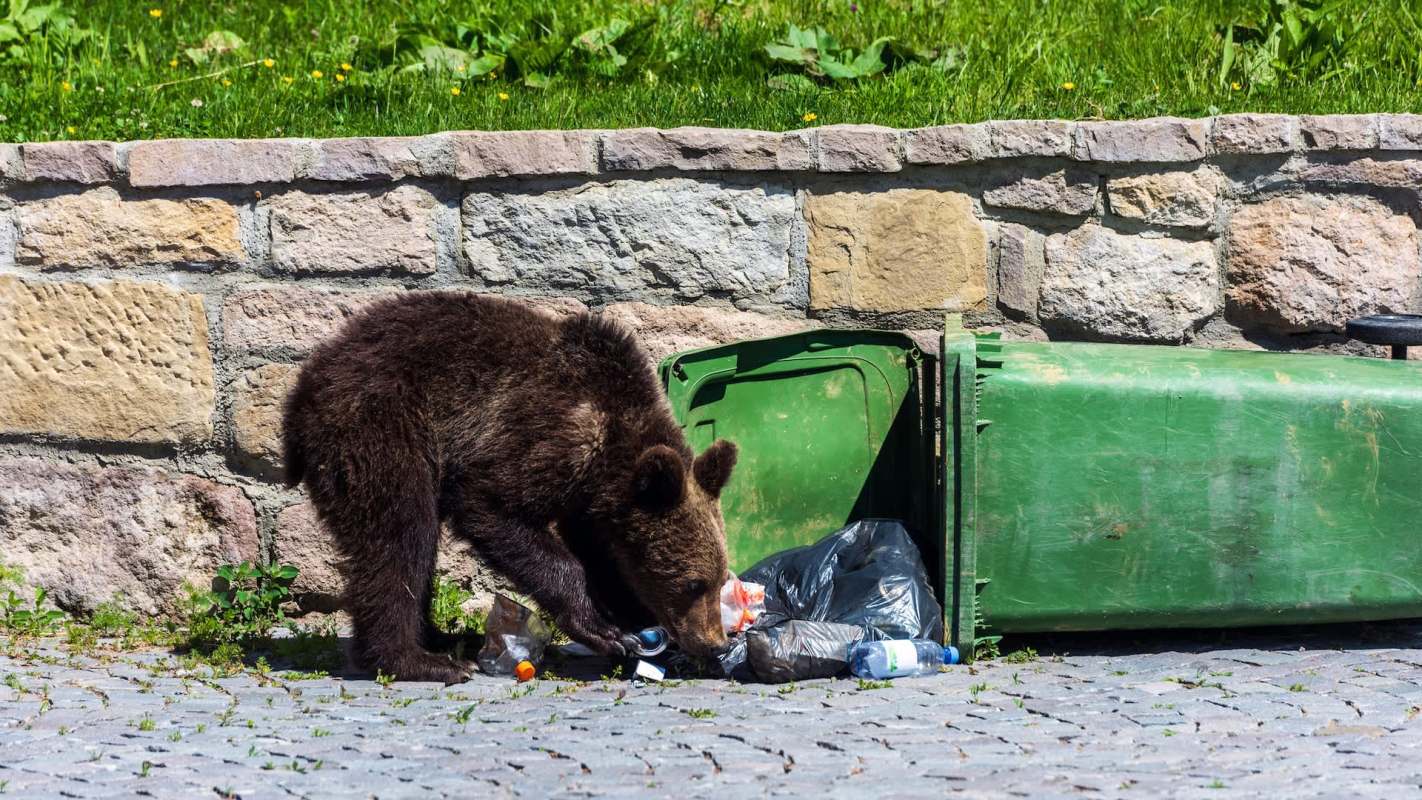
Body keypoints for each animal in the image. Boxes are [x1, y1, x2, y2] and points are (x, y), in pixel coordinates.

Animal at [281, 292, 738, 684]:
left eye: (719, 581)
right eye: (693, 584)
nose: (715, 642)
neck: (609, 450)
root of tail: (304, 386)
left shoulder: (590, 502)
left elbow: (606, 556)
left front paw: (631, 624)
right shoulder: (542, 437)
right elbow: (491, 507)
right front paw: (603, 627)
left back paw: (443, 639)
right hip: (381, 425)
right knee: (400, 534)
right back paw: (420, 660)